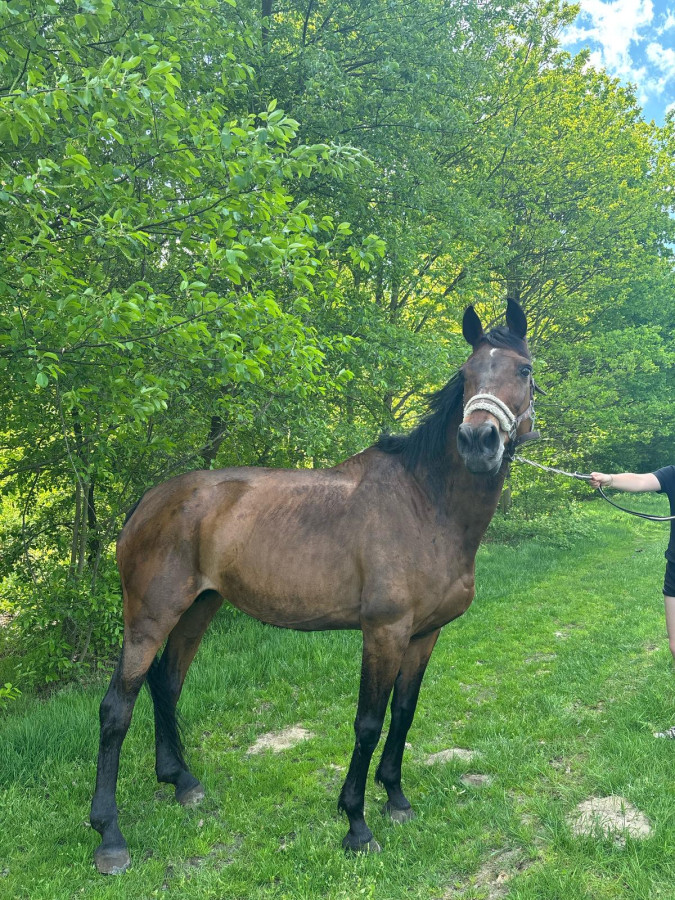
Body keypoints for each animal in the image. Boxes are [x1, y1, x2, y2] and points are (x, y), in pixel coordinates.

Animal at [90, 298, 537, 874]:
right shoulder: (384, 631)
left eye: (523, 370)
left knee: (166, 683)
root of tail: (149, 500)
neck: (426, 503)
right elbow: (368, 722)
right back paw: (109, 835)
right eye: (466, 375)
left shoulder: (424, 634)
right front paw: (356, 824)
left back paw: (183, 782)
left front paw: (396, 798)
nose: (478, 442)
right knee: (115, 710)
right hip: (149, 618)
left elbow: (404, 712)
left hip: (199, 608)